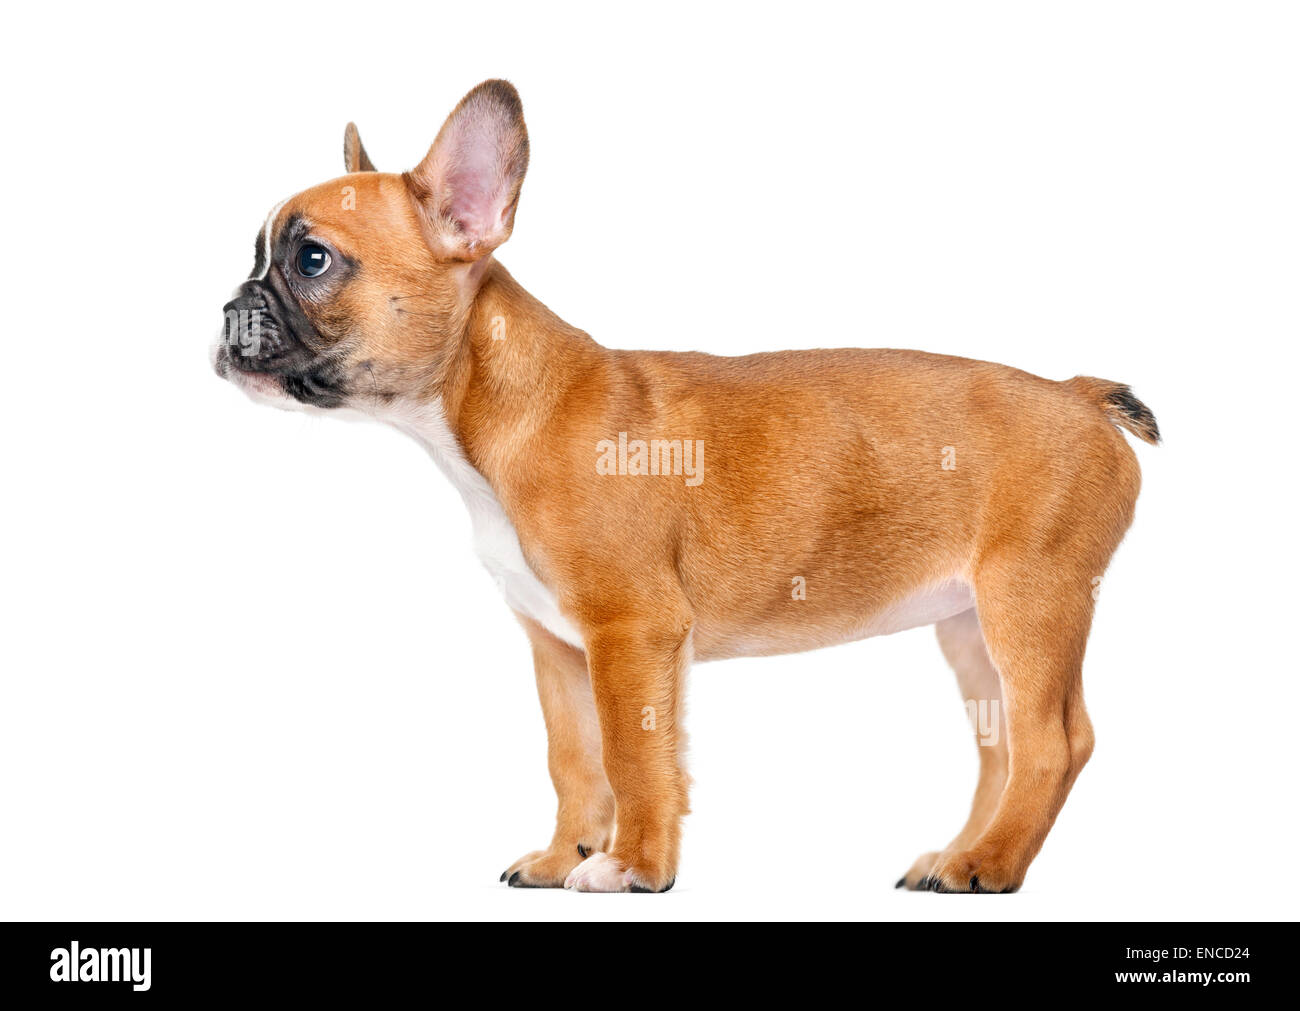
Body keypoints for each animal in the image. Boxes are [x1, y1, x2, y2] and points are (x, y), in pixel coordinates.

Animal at [210, 80, 1159, 888]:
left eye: (313, 259)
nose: (226, 310)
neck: (483, 406)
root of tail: (1077, 392)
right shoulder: (559, 648)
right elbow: (575, 757)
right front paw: (565, 855)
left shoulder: (632, 631)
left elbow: (636, 756)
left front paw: (634, 865)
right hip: (970, 626)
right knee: (1000, 747)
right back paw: (958, 854)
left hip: (1031, 600)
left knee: (1051, 741)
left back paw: (991, 865)